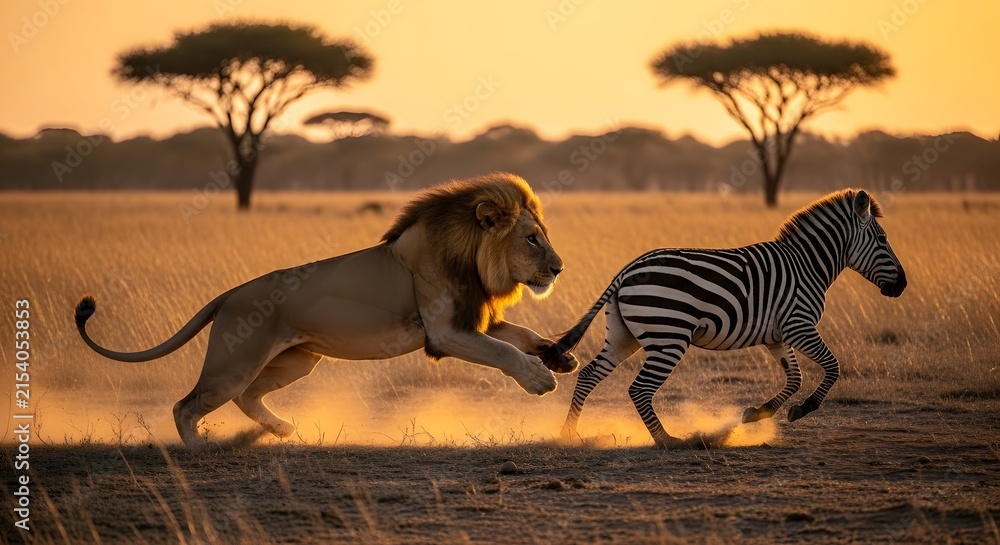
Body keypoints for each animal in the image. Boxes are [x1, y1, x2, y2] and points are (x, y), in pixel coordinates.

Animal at [75, 173, 579, 446]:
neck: (471, 258)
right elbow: (503, 352)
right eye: (531, 239)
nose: (559, 268)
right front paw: (540, 380)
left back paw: (280, 429)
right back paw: (202, 449)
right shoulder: (445, 332)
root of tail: (230, 293)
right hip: (234, 361)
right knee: (187, 406)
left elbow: (521, 336)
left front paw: (559, 356)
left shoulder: (475, 319)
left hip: (299, 361)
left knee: (246, 396)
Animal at [541, 189, 907, 447]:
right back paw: (668, 441)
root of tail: (627, 269)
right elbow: (833, 367)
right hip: (669, 338)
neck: (808, 264)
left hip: (623, 336)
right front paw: (802, 410)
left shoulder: (777, 336)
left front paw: (756, 413)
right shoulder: (800, 325)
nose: (902, 285)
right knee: (640, 389)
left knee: (589, 375)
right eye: (883, 239)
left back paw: (568, 435)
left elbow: (794, 378)